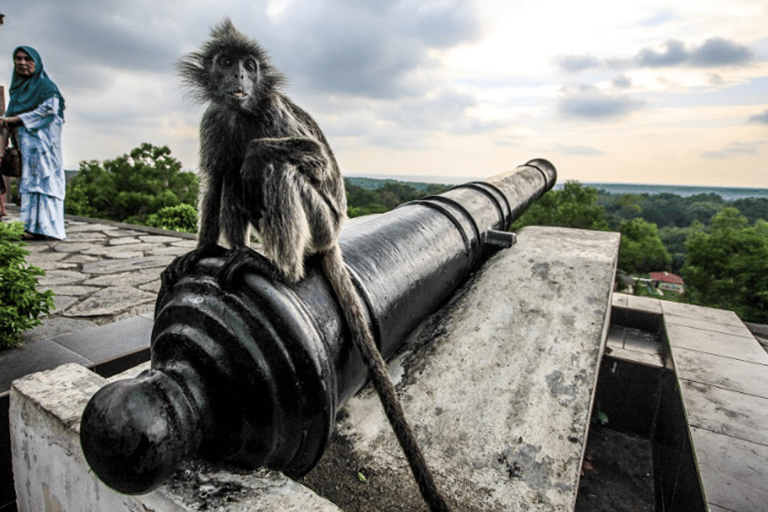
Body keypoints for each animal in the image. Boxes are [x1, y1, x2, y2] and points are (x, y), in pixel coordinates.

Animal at [162, 19, 450, 512]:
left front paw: (258, 152)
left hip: (320, 222)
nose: (240, 78)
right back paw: (232, 254)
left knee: (275, 169)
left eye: (251, 66)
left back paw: (280, 269)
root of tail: (334, 238)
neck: (242, 112)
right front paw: (201, 251)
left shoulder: (273, 113)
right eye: (227, 62)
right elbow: (216, 175)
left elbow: (306, 155)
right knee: (235, 179)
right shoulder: (214, 121)